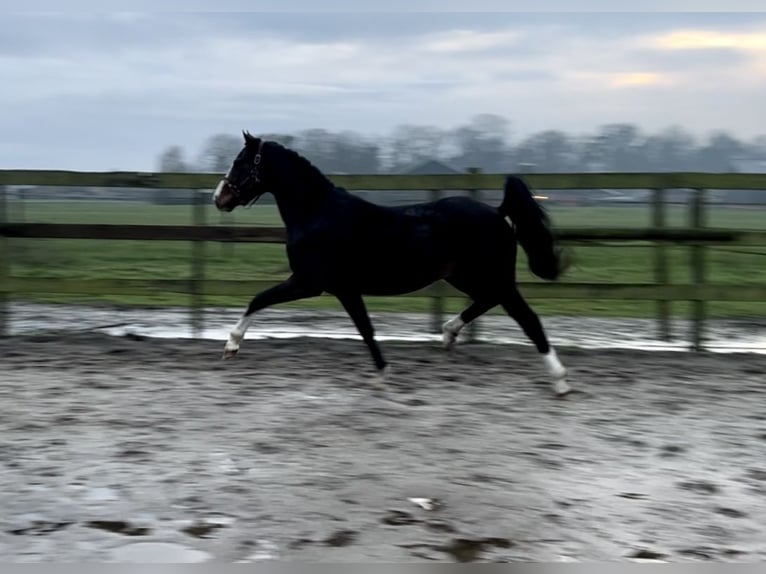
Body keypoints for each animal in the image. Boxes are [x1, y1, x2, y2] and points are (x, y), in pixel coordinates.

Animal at [213, 133, 572, 398]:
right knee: (488, 302)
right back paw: (448, 334)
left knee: (527, 319)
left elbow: (259, 298)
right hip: (467, 277)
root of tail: (498, 213)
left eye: (239, 162)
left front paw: (231, 346)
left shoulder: (309, 282)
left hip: (491, 277)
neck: (317, 213)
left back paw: (560, 381)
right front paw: (382, 375)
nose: (219, 198)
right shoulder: (343, 288)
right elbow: (366, 329)